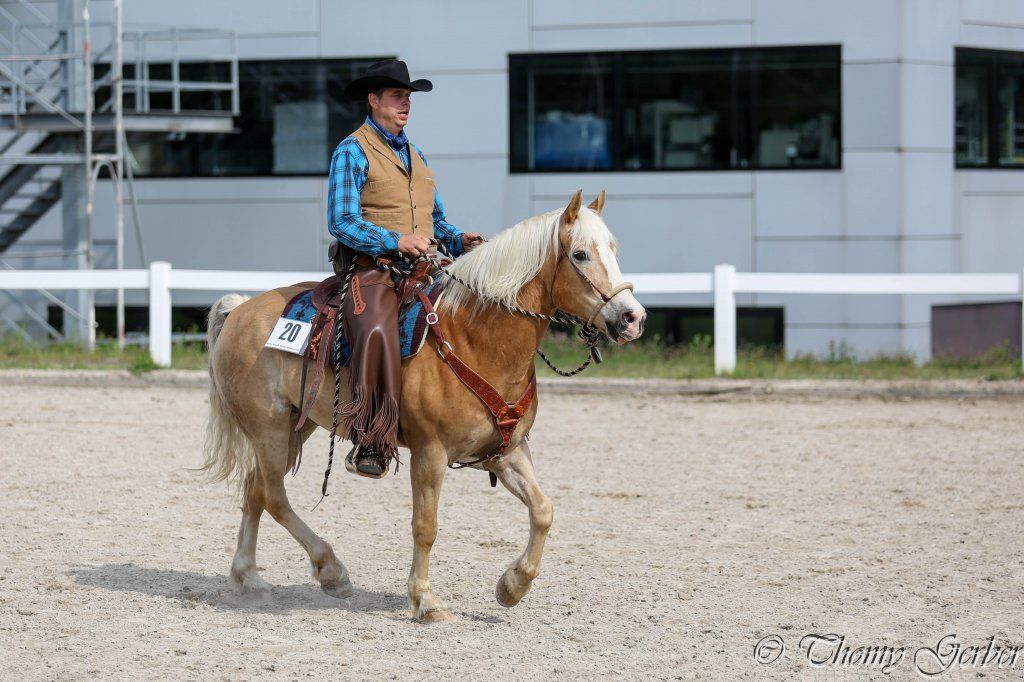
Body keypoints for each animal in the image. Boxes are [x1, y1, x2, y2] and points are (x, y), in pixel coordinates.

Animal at [202, 189, 647, 623]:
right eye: (581, 254)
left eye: (612, 248)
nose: (632, 317)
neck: (475, 338)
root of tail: (240, 309)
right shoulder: (430, 453)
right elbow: (425, 526)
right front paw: (425, 600)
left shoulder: (508, 452)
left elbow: (543, 510)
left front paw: (512, 586)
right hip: (269, 427)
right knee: (274, 496)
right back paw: (331, 571)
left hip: (297, 425)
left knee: (255, 491)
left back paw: (249, 578)